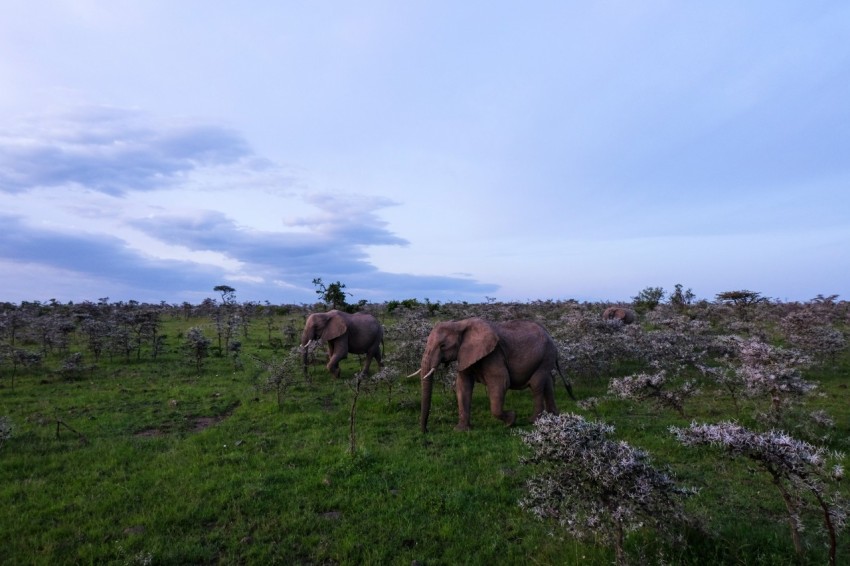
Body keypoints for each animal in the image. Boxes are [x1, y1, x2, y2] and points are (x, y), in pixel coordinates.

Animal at [410, 318, 572, 432]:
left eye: (443, 345)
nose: (425, 431)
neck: (460, 324)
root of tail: (550, 336)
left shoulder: (494, 354)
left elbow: (501, 383)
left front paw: (511, 420)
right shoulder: (466, 355)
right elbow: (463, 386)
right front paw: (461, 430)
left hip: (545, 355)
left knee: (536, 384)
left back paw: (533, 421)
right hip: (546, 358)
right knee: (547, 383)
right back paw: (553, 416)